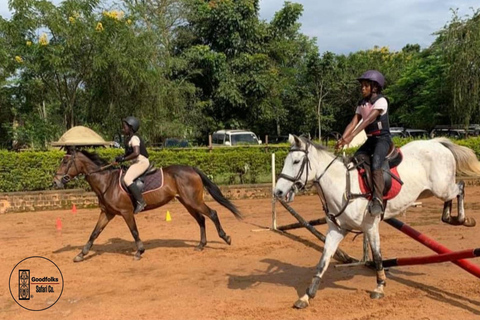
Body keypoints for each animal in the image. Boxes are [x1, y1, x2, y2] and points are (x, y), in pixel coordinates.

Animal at [52, 149, 242, 262]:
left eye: (65, 162)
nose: (55, 182)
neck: (106, 182)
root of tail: (191, 168)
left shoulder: (126, 212)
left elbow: (134, 231)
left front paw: (139, 251)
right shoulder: (107, 213)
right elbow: (94, 233)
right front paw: (81, 254)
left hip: (193, 201)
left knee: (212, 213)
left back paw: (226, 237)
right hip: (187, 202)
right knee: (201, 219)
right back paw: (201, 245)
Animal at [274, 134, 480, 308]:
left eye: (296, 161)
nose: (278, 192)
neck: (342, 186)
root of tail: (436, 143)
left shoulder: (370, 226)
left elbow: (378, 255)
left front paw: (379, 287)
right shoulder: (336, 231)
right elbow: (322, 262)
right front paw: (306, 296)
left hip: (441, 187)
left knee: (460, 187)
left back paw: (464, 219)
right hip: (431, 191)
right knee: (451, 197)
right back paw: (450, 217)